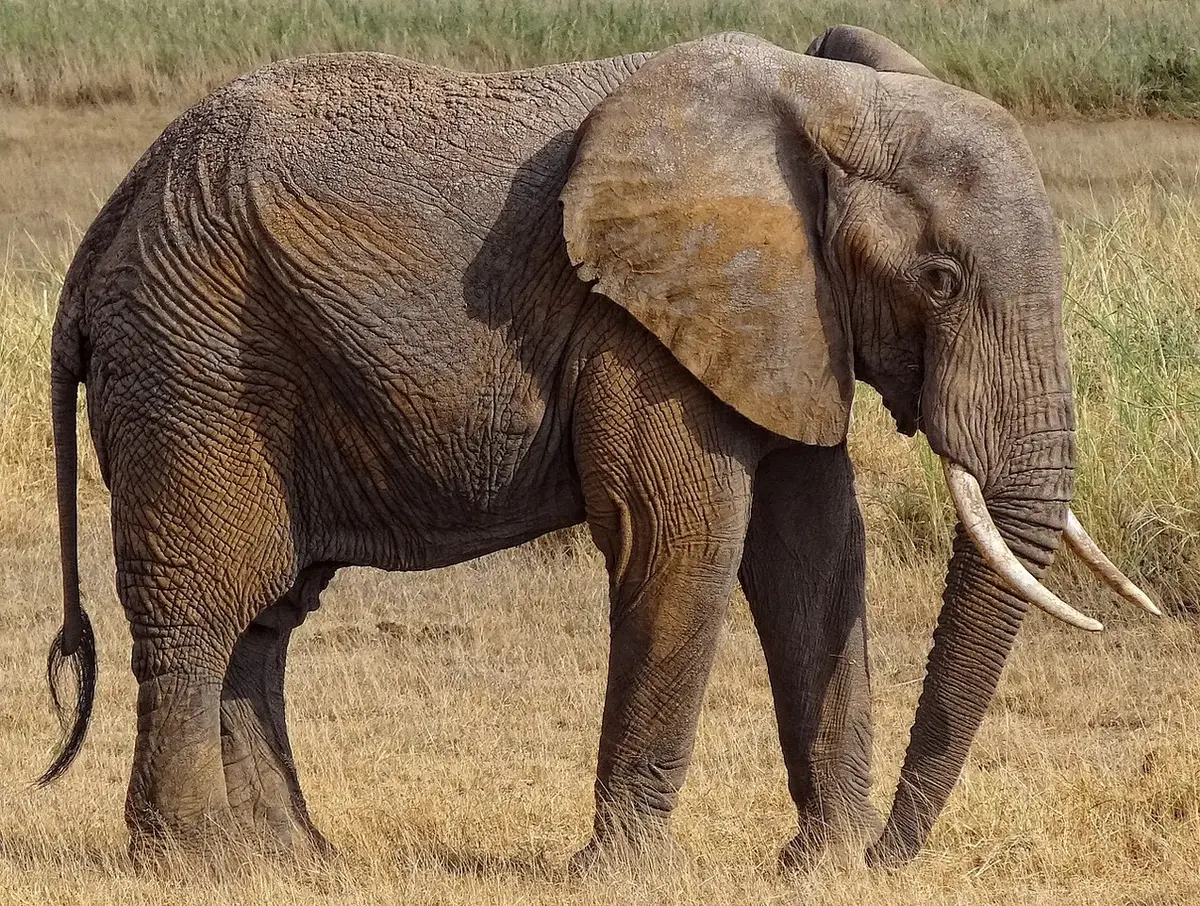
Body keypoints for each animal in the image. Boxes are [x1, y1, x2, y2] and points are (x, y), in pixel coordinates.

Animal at [39, 26, 1157, 868]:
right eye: (938, 281)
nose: (895, 855)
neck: (826, 103)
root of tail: (110, 219)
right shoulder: (639, 323)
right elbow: (683, 538)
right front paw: (626, 872)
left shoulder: (788, 315)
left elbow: (815, 550)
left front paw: (822, 866)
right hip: (194, 361)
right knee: (203, 602)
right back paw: (192, 861)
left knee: (266, 614)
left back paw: (294, 861)